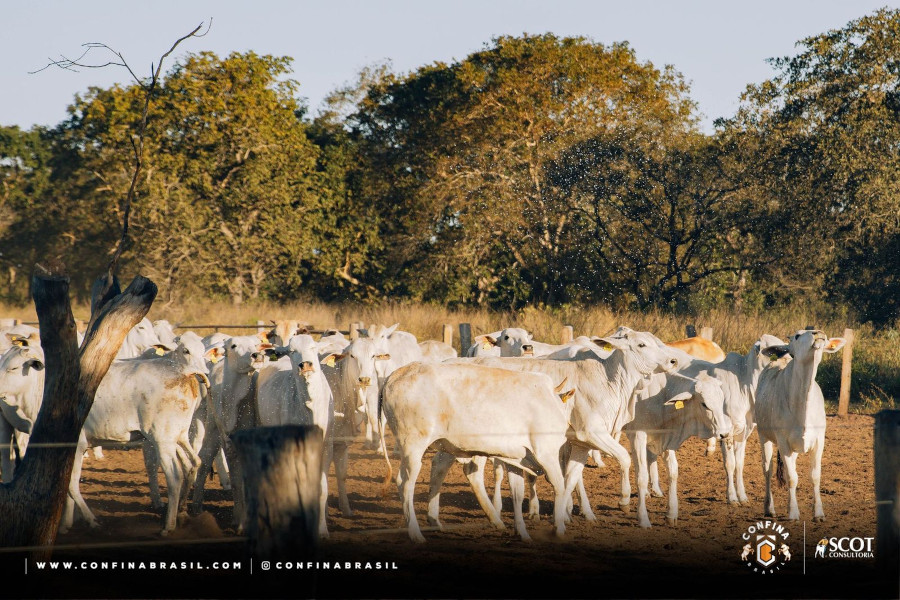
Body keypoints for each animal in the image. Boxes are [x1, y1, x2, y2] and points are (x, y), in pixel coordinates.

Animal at [384, 360, 572, 544]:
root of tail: (396, 374)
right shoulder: (547, 453)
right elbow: (560, 486)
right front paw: (559, 529)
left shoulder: (518, 459)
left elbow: (517, 494)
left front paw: (522, 532)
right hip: (413, 446)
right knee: (405, 483)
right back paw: (416, 533)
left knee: (442, 470)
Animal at [756, 330, 848, 524]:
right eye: (797, 336)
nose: (818, 333)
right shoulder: (783, 442)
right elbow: (792, 478)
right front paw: (793, 512)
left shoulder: (819, 441)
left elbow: (815, 476)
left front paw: (819, 512)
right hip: (763, 436)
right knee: (767, 470)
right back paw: (769, 508)